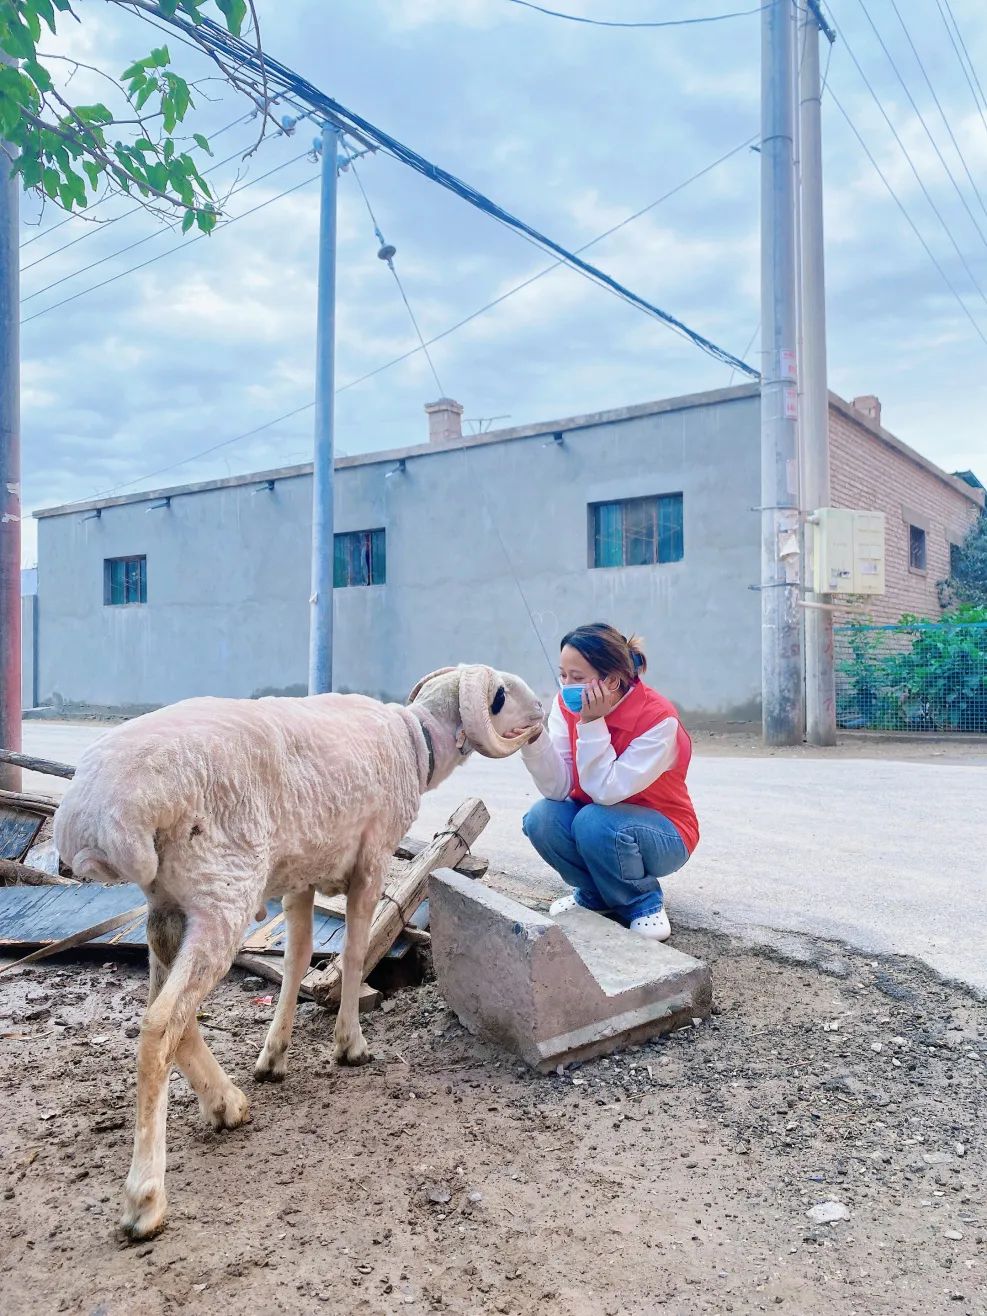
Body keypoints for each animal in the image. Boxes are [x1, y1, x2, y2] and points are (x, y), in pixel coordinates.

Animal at [53, 663, 543, 1241]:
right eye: (506, 693)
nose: (546, 713)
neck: (416, 742)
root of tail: (96, 818)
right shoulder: (372, 860)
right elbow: (354, 951)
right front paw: (351, 1045)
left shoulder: (302, 873)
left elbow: (299, 956)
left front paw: (275, 1056)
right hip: (222, 892)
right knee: (159, 1027)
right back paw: (145, 1199)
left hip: (168, 904)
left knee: (172, 1015)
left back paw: (228, 1104)